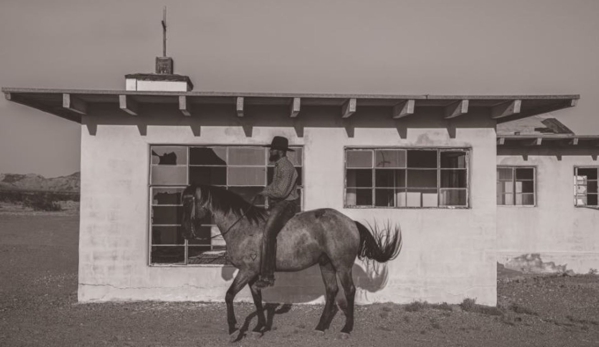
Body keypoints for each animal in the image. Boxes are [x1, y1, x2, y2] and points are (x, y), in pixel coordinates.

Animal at [180, 186, 400, 342]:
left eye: (189, 201)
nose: (186, 231)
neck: (242, 227)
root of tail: (351, 222)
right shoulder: (252, 273)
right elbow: (257, 299)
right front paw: (259, 328)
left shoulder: (247, 270)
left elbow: (229, 295)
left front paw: (234, 330)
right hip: (326, 264)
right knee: (331, 290)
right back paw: (320, 327)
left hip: (342, 265)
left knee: (349, 291)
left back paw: (346, 329)